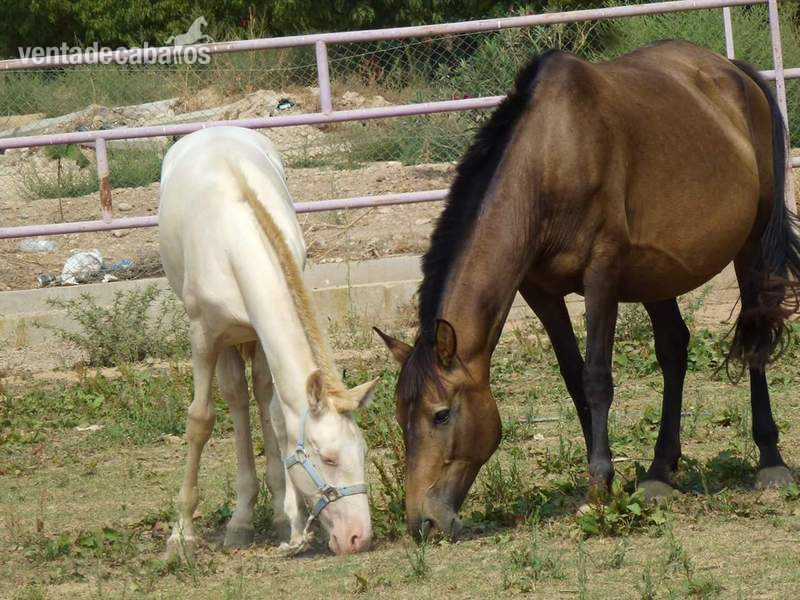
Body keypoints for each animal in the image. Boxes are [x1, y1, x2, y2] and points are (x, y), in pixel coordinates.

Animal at [159, 126, 378, 558]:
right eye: (328, 458)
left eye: (362, 452)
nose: (358, 537)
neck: (232, 239)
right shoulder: (203, 336)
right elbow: (200, 419)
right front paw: (182, 533)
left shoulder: (261, 335)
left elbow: (277, 419)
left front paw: (288, 521)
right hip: (225, 340)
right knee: (235, 399)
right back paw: (239, 521)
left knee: (256, 397)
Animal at [375, 40, 800, 540]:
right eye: (399, 416)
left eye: (441, 414)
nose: (423, 522)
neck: (551, 156)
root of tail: (735, 71)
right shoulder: (540, 292)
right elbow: (574, 379)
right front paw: (606, 482)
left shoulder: (602, 275)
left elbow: (597, 379)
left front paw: (599, 485)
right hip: (657, 271)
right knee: (674, 350)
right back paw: (659, 471)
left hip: (752, 243)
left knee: (755, 336)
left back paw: (770, 461)